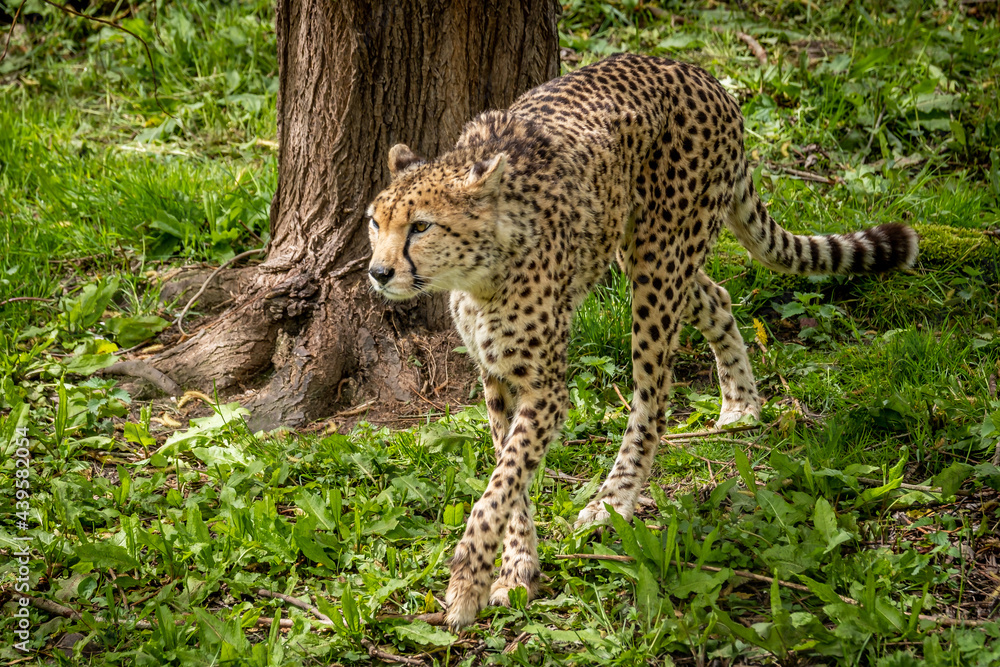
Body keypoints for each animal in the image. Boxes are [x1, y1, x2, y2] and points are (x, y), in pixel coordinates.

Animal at [365, 53, 918, 630]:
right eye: (374, 223)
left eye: (421, 226)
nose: (379, 273)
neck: (480, 271)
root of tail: (696, 71)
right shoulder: (497, 378)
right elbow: (509, 479)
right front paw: (517, 567)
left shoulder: (545, 387)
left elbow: (500, 485)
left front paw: (468, 581)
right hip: (648, 253)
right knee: (717, 296)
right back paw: (741, 403)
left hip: (658, 261)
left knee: (653, 401)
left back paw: (613, 499)